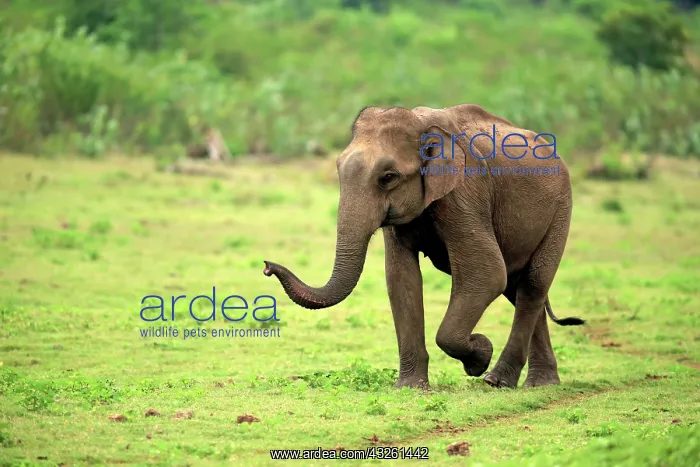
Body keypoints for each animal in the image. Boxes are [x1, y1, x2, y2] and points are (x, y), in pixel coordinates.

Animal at [263, 103, 585, 389]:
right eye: (339, 170)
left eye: (388, 177)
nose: (266, 266)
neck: (421, 124)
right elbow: (401, 279)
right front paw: (410, 387)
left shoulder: (465, 192)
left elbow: (487, 273)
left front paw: (479, 355)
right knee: (518, 288)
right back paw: (539, 384)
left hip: (561, 210)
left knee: (531, 285)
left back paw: (497, 381)